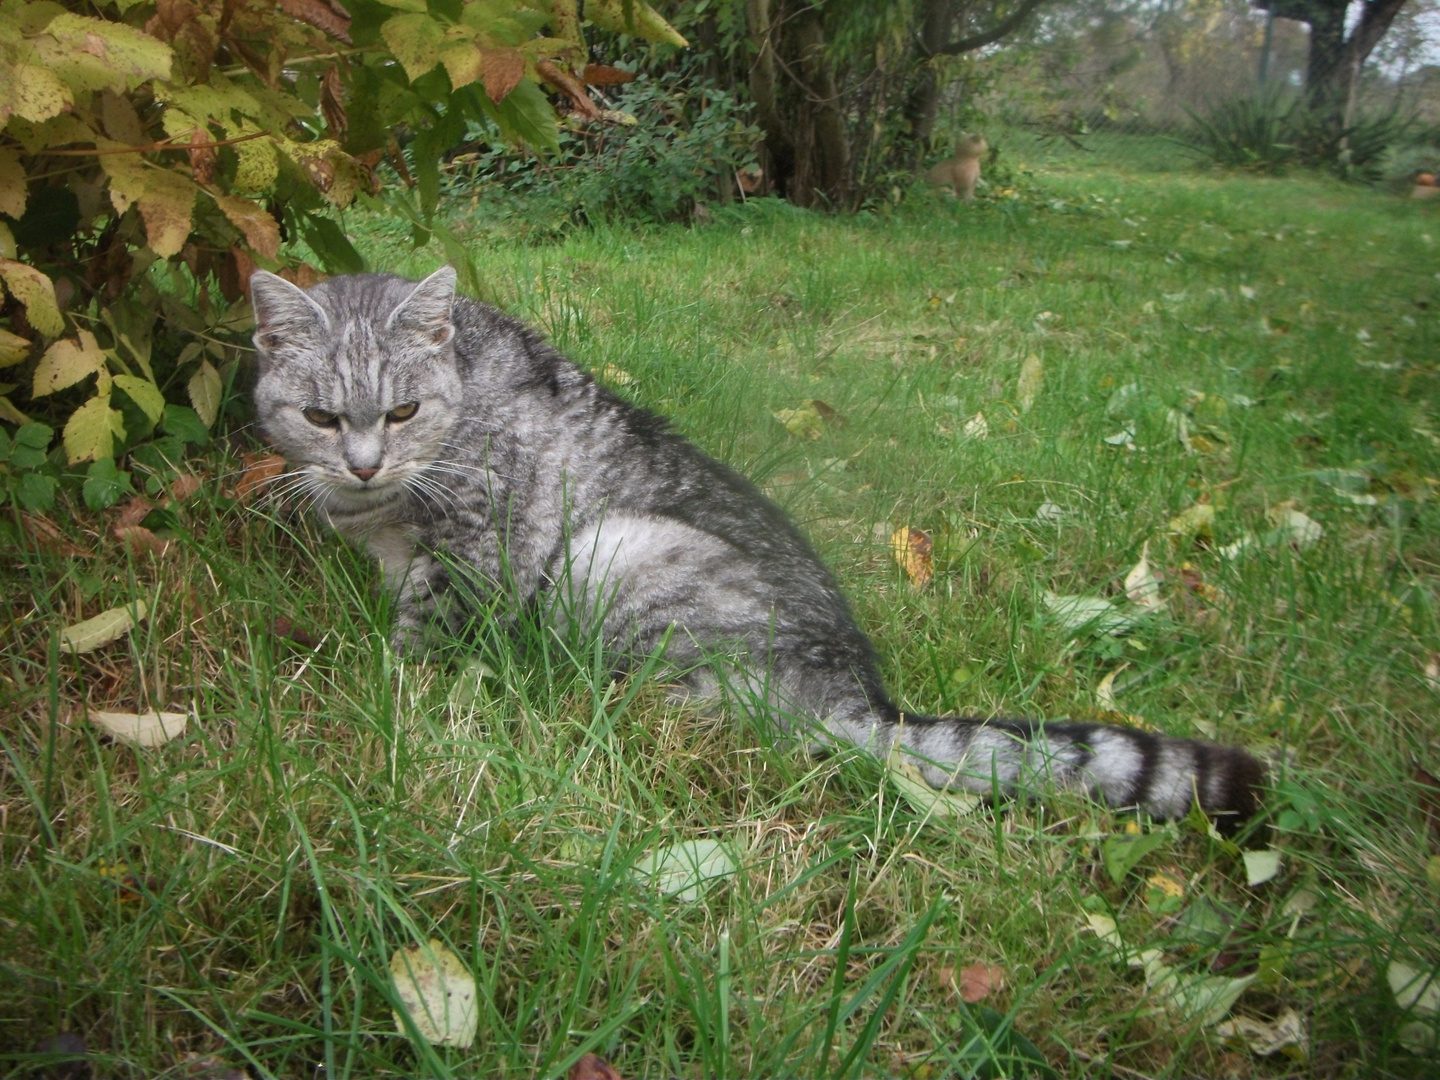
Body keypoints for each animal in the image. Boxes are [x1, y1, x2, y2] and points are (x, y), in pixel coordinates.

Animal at [253, 266, 1267, 823]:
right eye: (320, 417)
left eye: (403, 411)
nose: (363, 465)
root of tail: (859, 692)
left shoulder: (476, 549)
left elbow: (421, 639)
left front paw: (394, 700)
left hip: (612, 555)